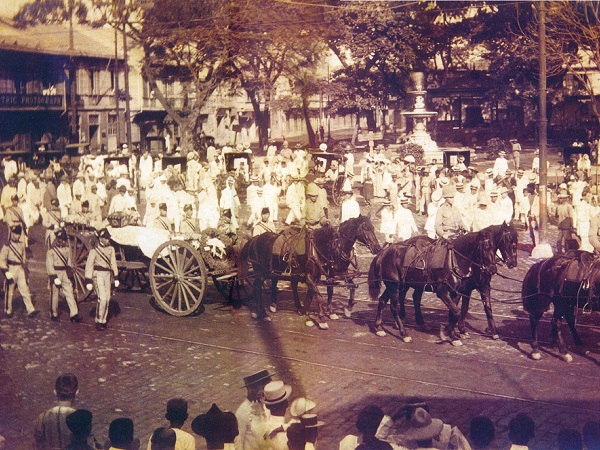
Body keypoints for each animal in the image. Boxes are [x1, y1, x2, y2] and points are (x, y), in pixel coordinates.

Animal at [238, 216, 380, 328]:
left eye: (373, 228)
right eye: (366, 228)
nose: (377, 248)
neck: (317, 247)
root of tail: (254, 239)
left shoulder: (332, 274)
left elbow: (344, 288)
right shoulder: (314, 276)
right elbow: (319, 295)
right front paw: (321, 318)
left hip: (273, 270)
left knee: (274, 283)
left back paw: (271, 307)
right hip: (261, 272)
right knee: (258, 286)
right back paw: (262, 312)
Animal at [368, 230, 500, 346]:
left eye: (495, 247)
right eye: (485, 246)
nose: (493, 269)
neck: (452, 260)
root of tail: (384, 252)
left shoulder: (456, 292)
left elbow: (454, 313)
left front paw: (453, 335)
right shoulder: (443, 292)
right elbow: (456, 312)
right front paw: (447, 332)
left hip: (394, 286)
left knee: (382, 301)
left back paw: (379, 328)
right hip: (395, 286)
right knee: (394, 307)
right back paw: (404, 334)